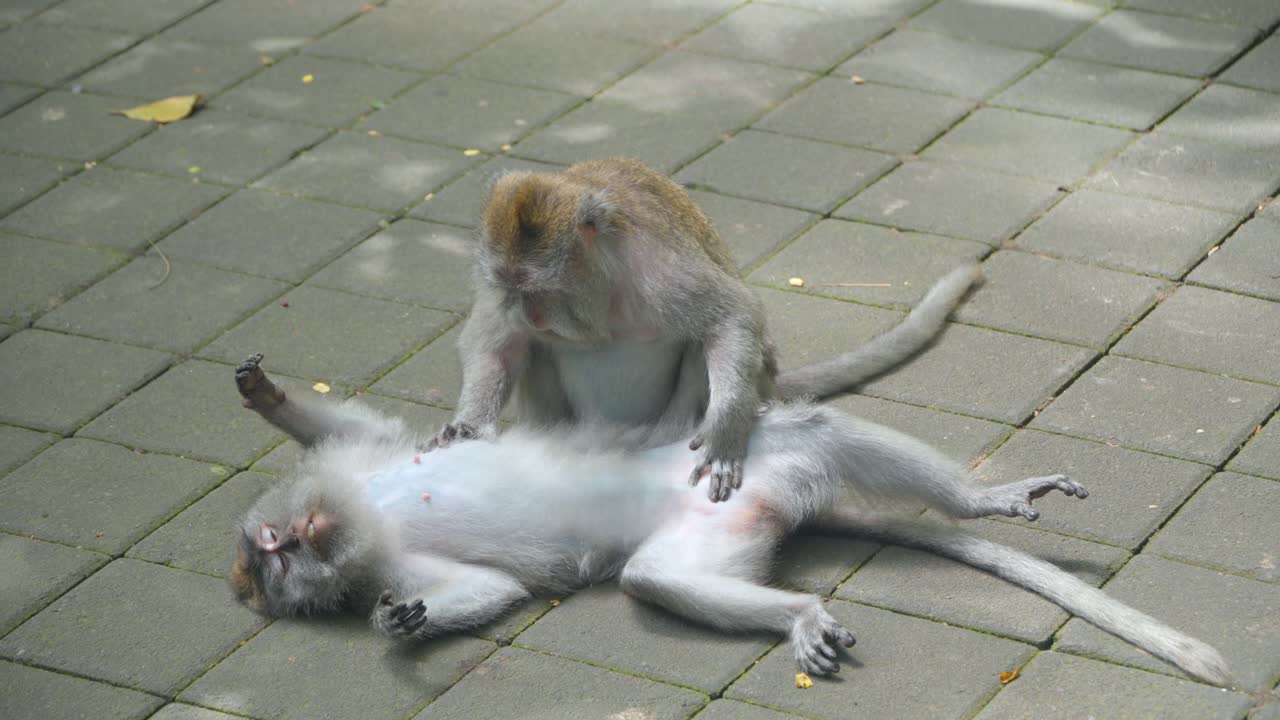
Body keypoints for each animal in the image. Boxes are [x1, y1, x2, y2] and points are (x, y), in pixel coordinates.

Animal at [230, 354, 1232, 687]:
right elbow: (484, 587)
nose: (273, 550)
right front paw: (405, 623)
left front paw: (266, 396)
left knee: (818, 425)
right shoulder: (384, 556)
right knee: (656, 578)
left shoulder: (366, 465)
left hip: (745, 450)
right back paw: (798, 614)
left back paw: (979, 497)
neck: (362, 516)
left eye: (264, 561)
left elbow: (351, 430)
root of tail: (769, 496)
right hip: (726, 523)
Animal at [437, 158, 982, 502]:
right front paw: (468, 426)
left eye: (538, 289)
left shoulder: (659, 273)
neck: (605, 296)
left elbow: (732, 319)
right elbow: (498, 347)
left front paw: (724, 432)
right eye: (509, 288)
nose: (527, 314)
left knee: (704, 346)